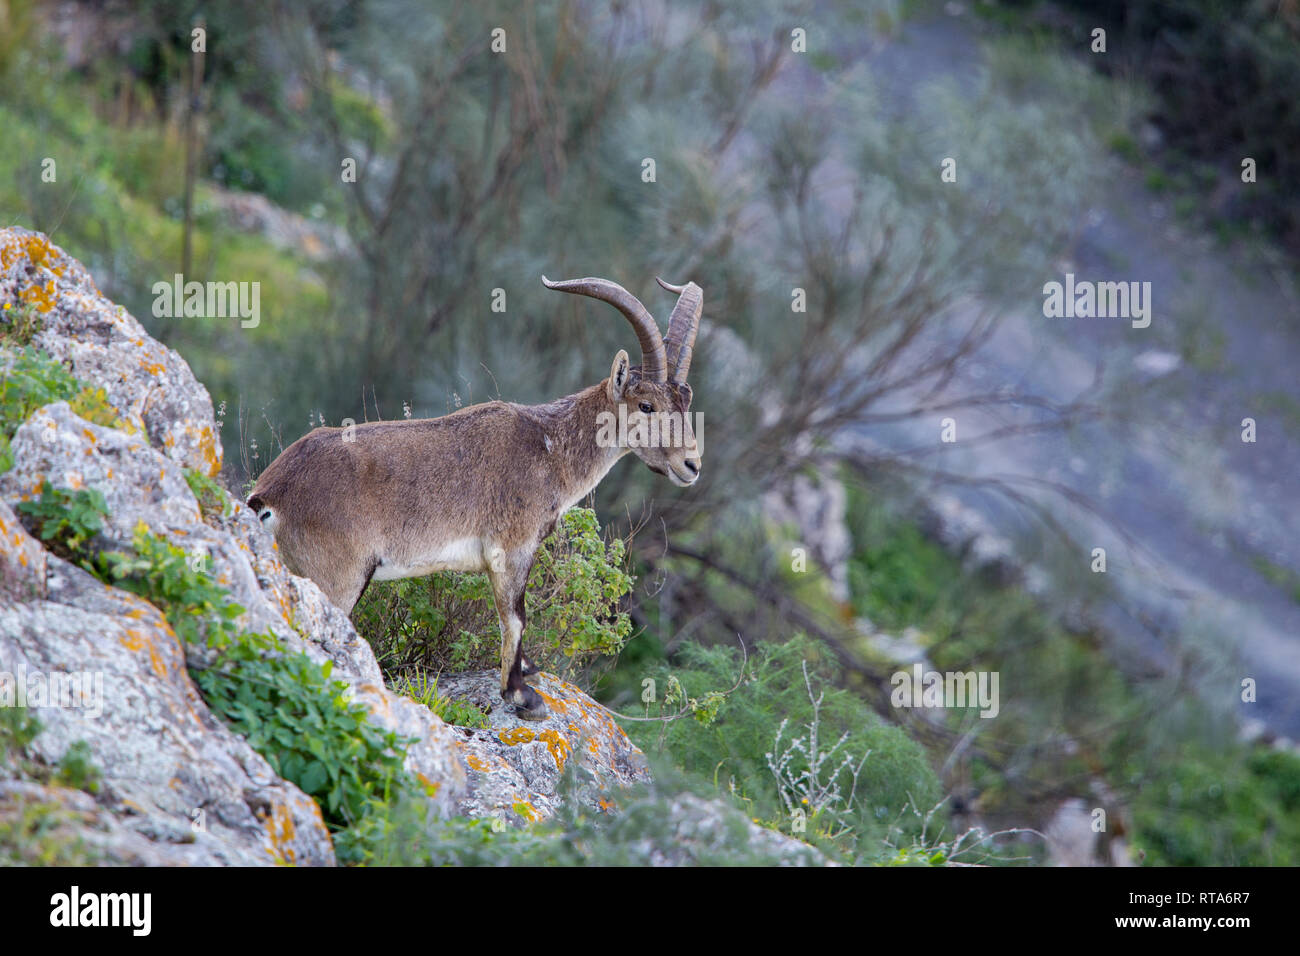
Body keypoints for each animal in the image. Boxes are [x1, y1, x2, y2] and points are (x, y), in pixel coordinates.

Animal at [248, 274, 707, 717]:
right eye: (646, 405)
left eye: (686, 400)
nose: (691, 466)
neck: (549, 447)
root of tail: (268, 496)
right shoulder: (511, 548)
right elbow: (516, 616)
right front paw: (521, 696)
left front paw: (526, 672)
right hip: (336, 578)